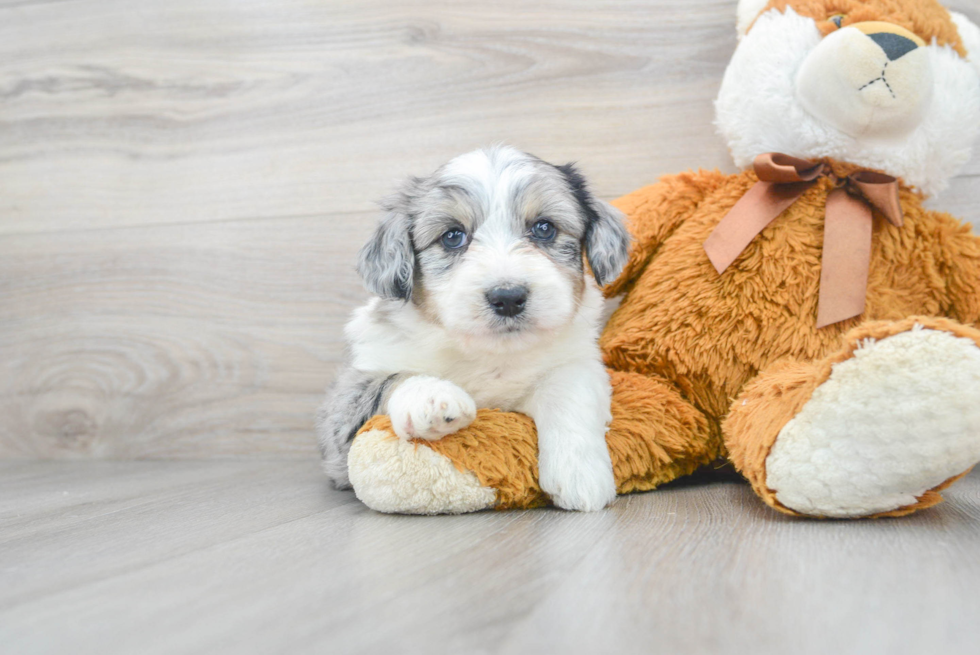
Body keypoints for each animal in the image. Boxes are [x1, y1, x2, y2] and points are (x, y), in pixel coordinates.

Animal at [318, 145, 632, 512]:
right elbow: (394, 378)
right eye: (453, 236)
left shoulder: (577, 360)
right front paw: (432, 397)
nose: (508, 298)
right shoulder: (341, 416)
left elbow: (566, 391)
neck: (487, 352)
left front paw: (580, 473)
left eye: (544, 228)